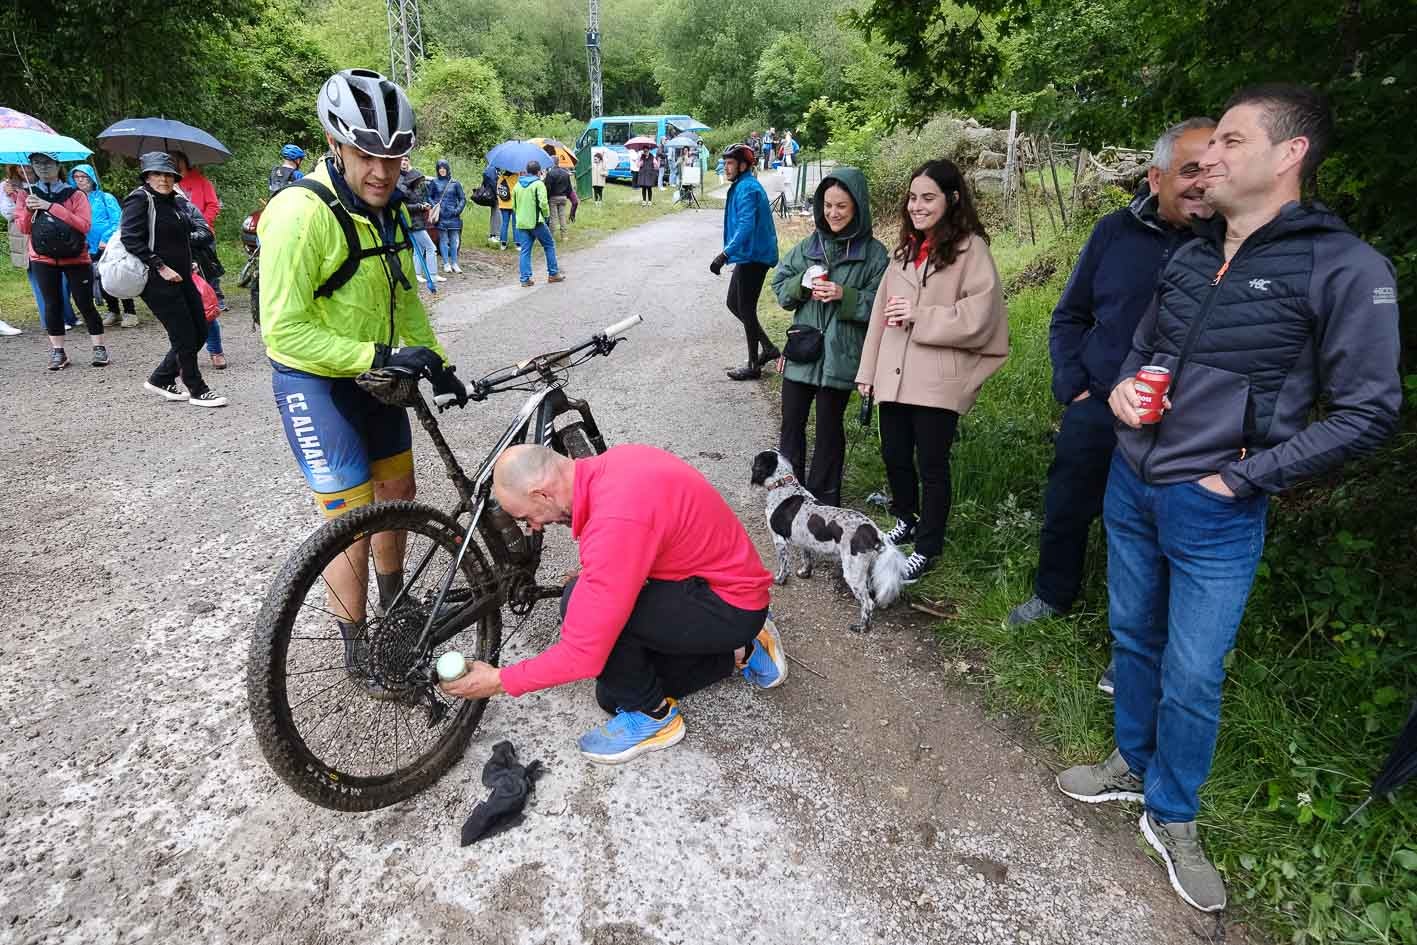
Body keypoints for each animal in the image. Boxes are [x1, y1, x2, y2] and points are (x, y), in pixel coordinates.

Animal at [753, 447, 906, 631]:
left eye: (757, 459)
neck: (783, 485)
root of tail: (873, 531)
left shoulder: (779, 540)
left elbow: (783, 566)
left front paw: (779, 580)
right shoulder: (805, 542)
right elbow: (807, 560)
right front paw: (804, 573)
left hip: (852, 571)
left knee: (868, 603)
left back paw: (861, 627)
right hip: (865, 568)